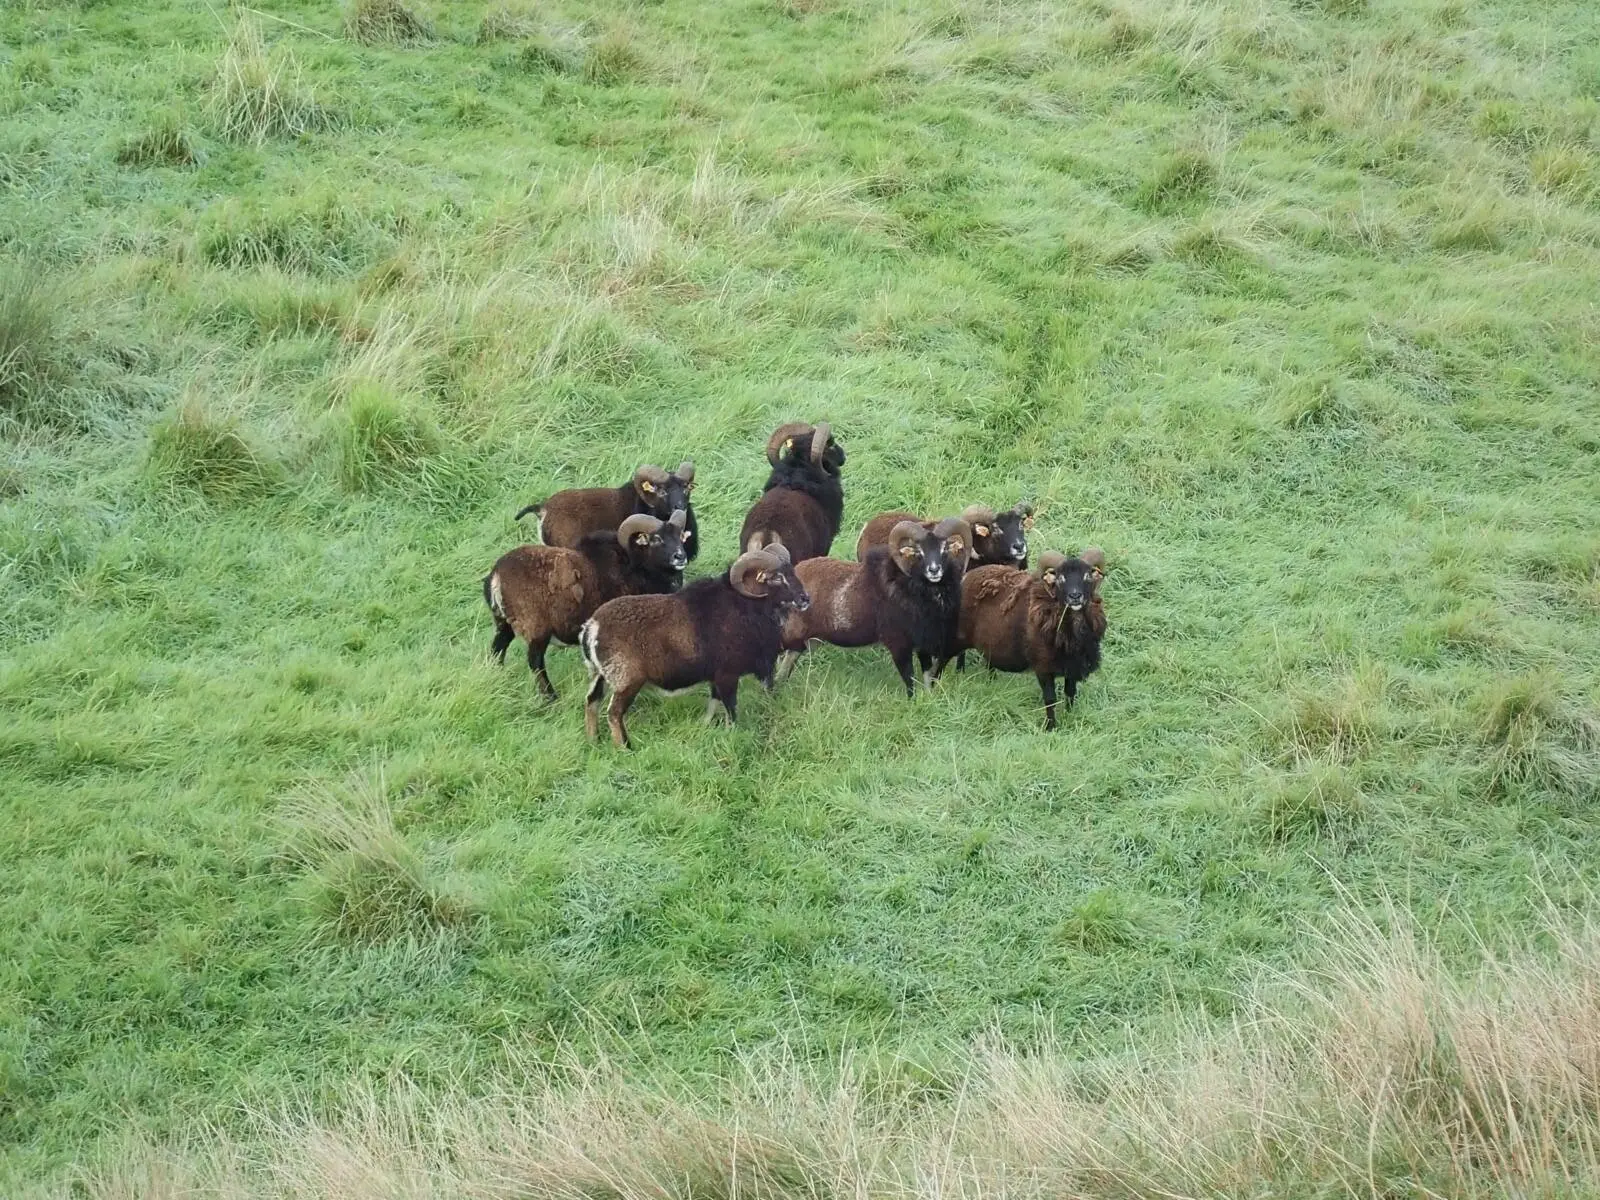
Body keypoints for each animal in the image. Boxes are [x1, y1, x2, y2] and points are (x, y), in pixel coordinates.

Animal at [484, 511, 689, 702]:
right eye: (657, 539)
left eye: (680, 536)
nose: (680, 557)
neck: (635, 567)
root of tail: (496, 576)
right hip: (536, 631)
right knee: (535, 661)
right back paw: (551, 697)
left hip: (503, 623)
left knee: (498, 649)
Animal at [579, 542, 811, 749]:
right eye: (776, 577)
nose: (805, 599)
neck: (744, 607)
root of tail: (593, 627)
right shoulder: (727, 675)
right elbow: (730, 709)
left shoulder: (718, 677)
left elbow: (713, 703)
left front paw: (705, 726)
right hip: (627, 681)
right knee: (613, 713)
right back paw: (625, 748)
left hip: (599, 675)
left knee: (591, 702)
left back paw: (593, 741)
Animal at [778, 517, 972, 696]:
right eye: (918, 552)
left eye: (944, 549)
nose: (934, 570)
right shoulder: (899, 646)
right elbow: (909, 681)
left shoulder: (922, 645)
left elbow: (926, 678)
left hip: (806, 642)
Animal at [956, 548, 1106, 731]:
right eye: (1060, 578)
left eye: (1087, 576)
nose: (1075, 596)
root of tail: (968, 575)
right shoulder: (1043, 667)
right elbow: (1050, 699)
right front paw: (1050, 727)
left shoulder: (1072, 666)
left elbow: (1070, 693)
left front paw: (1070, 716)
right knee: (960, 653)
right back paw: (960, 672)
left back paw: (991, 680)